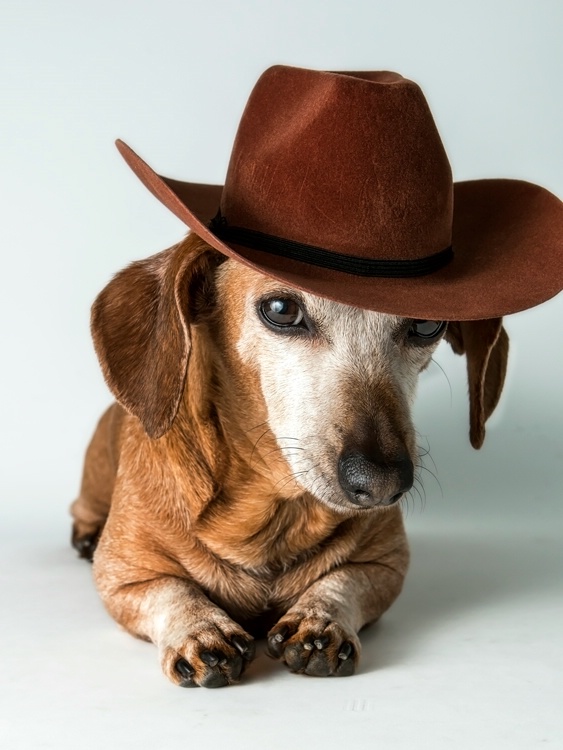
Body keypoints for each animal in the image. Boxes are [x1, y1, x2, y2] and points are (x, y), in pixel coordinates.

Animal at [69, 232, 506, 692]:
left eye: (425, 325)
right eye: (282, 310)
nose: (382, 482)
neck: (274, 508)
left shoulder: (385, 566)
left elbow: (344, 579)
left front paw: (321, 620)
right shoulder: (123, 576)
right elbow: (171, 590)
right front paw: (200, 627)